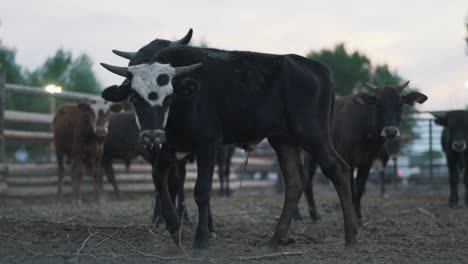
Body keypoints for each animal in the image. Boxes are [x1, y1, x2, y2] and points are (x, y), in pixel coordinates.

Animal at [101, 44, 358, 256]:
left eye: (168, 97)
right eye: (135, 96)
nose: (151, 135)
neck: (186, 100)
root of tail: (317, 66)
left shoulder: (207, 145)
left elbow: (201, 191)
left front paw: (201, 241)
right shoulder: (169, 147)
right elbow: (160, 179)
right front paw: (174, 226)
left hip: (313, 134)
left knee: (338, 169)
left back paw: (350, 236)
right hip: (283, 139)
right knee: (295, 180)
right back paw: (275, 240)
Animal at [298, 83, 426, 224]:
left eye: (400, 104)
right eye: (378, 105)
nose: (391, 131)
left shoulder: (367, 162)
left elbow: (360, 186)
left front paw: (359, 216)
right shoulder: (347, 160)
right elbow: (351, 188)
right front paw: (354, 217)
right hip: (309, 154)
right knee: (306, 180)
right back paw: (312, 216)